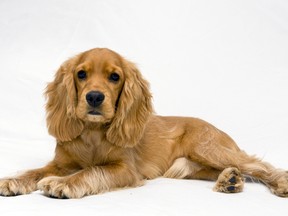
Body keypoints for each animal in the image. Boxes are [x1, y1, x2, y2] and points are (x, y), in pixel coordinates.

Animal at [0, 48, 286, 198]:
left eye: (114, 77)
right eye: (81, 74)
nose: (94, 97)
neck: (93, 133)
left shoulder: (125, 169)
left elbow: (92, 171)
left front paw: (63, 184)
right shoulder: (60, 163)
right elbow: (35, 171)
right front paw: (12, 180)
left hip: (207, 148)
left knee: (257, 165)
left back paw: (278, 182)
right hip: (192, 167)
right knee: (234, 170)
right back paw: (230, 180)